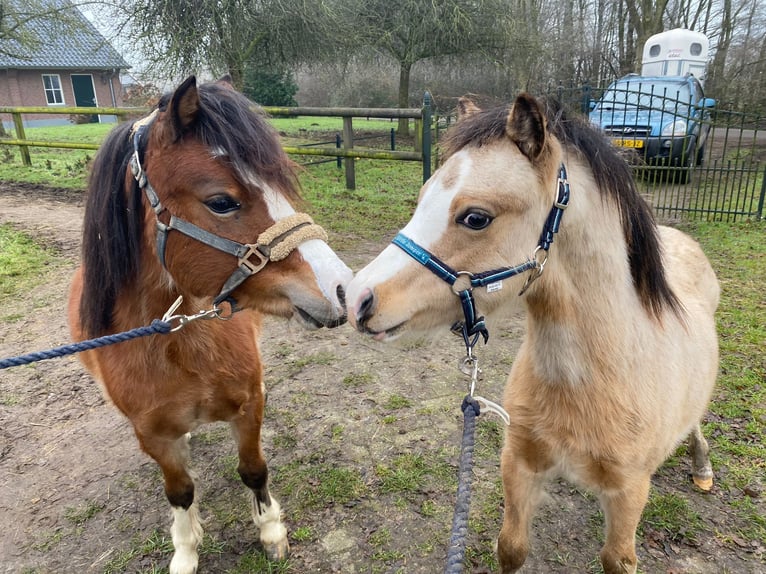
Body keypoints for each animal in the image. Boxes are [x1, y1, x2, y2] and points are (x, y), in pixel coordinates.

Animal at [67, 77, 354, 574]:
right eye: (221, 202)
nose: (342, 289)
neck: (178, 345)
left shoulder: (249, 407)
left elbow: (254, 470)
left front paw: (270, 531)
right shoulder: (153, 436)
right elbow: (180, 492)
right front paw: (185, 550)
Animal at [346, 95, 720, 574]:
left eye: (475, 217)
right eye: (423, 198)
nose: (357, 299)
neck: (596, 378)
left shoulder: (629, 493)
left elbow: (616, 558)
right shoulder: (519, 464)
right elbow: (512, 547)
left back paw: (702, 467)